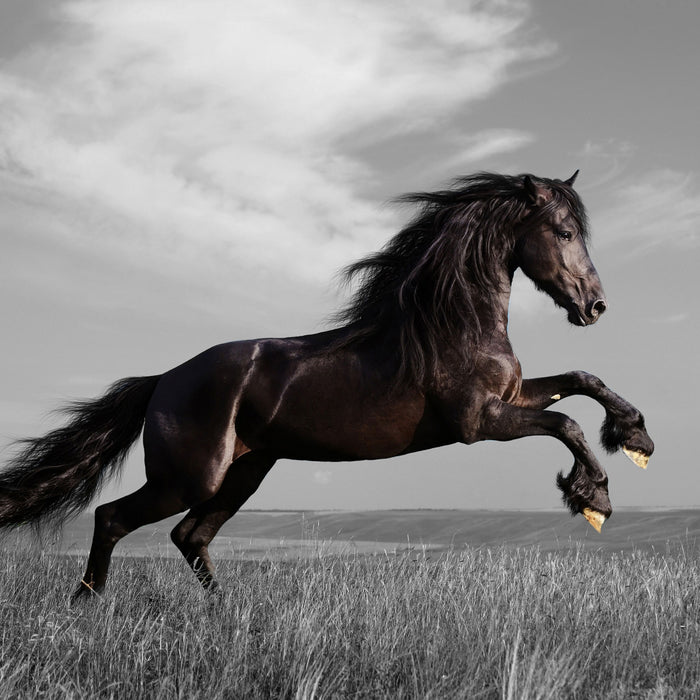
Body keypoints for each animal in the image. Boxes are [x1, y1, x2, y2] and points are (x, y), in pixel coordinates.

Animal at [1, 171, 656, 596]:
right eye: (564, 232)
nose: (595, 306)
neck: (451, 323)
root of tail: (163, 380)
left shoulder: (510, 397)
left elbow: (582, 379)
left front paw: (636, 438)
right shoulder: (481, 421)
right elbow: (565, 421)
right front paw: (593, 497)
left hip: (244, 471)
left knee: (190, 535)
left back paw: (229, 618)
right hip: (188, 477)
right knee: (114, 518)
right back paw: (86, 607)